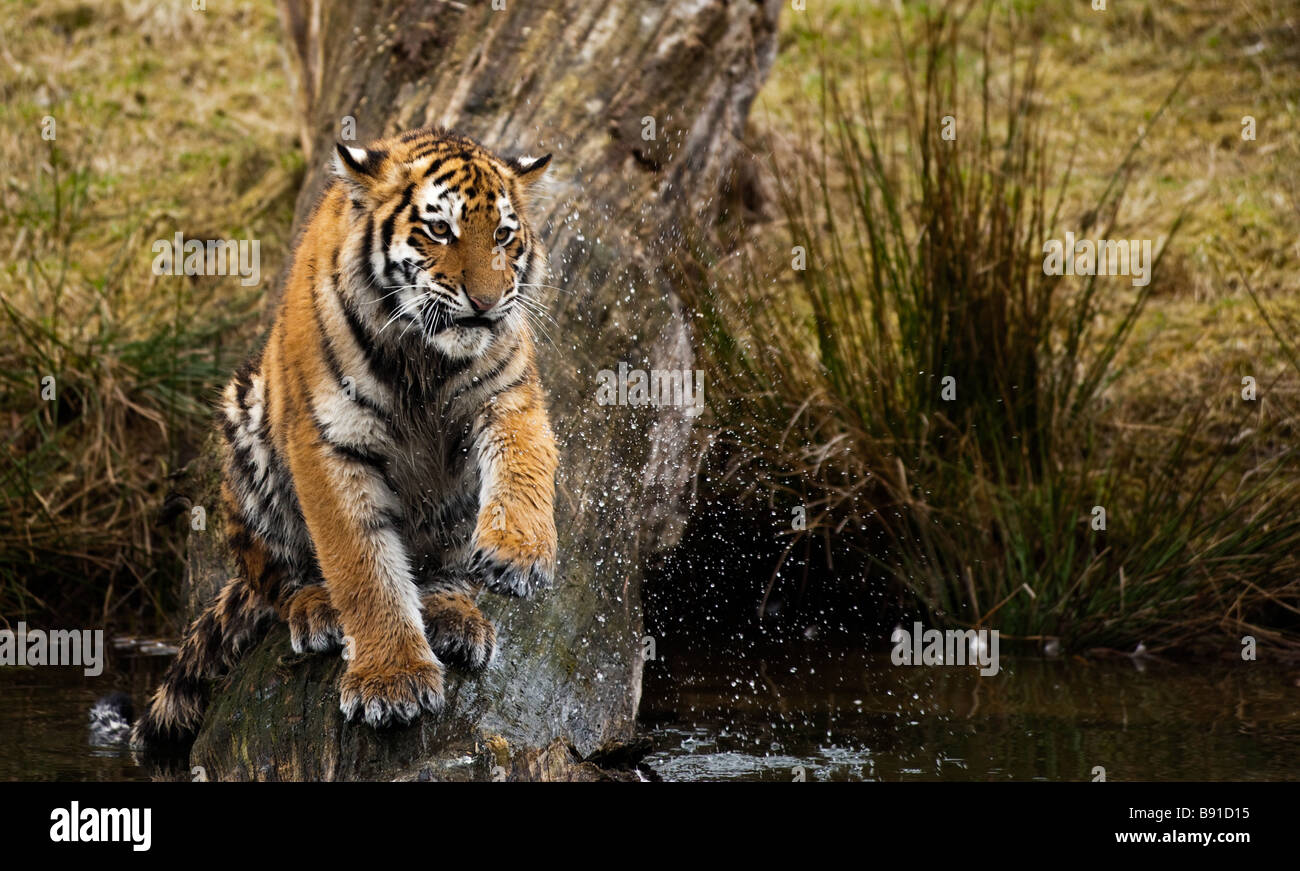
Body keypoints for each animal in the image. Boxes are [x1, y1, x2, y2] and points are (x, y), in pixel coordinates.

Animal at [130, 124, 559, 748]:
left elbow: (525, 461)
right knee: (275, 580)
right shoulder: (328, 441)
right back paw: (317, 609)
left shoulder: (508, 396)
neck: (424, 359)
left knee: (438, 572)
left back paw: (453, 615)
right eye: (440, 230)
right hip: (247, 424)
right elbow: (363, 565)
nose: (485, 303)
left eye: (503, 235)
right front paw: (392, 680)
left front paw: (519, 554)